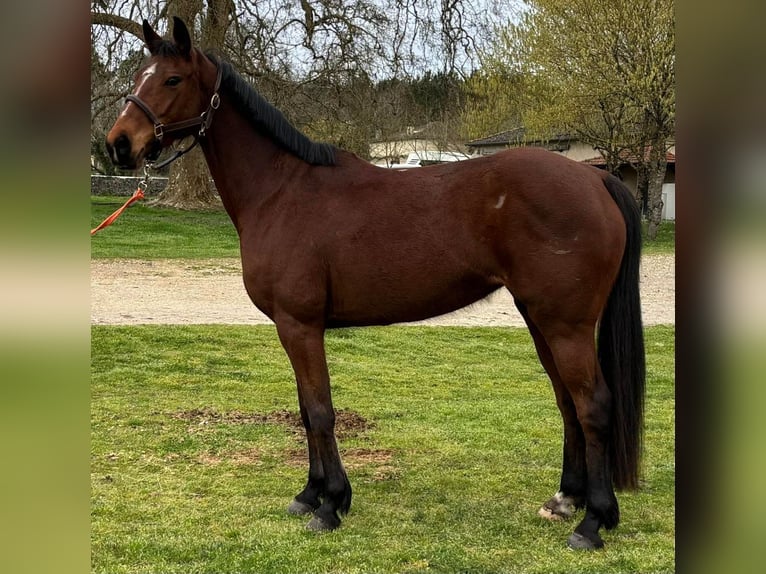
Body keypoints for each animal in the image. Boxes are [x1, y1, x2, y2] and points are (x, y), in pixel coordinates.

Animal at [105, 17, 645, 550]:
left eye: (172, 79)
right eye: (137, 76)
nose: (118, 144)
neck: (281, 192)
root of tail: (595, 180)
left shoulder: (300, 325)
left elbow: (320, 411)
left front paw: (331, 505)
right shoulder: (291, 328)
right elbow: (306, 410)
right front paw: (309, 495)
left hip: (566, 325)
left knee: (593, 405)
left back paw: (592, 523)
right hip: (540, 319)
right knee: (566, 401)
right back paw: (566, 499)